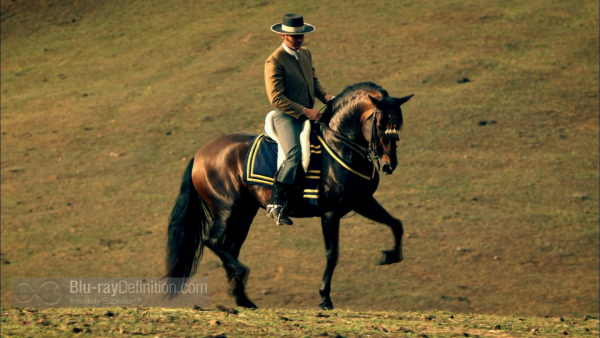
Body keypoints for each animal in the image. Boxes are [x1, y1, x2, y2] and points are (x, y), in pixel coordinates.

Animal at [166, 81, 414, 308]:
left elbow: (396, 224)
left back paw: (243, 299)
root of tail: (200, 155)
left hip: (244, 213)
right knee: (214, 242)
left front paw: (390, 256)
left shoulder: (363, 202)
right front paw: (324, 298)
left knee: (229, 247)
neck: (339, 145)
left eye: (399, 126)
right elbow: (331, 254)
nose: (389, 165)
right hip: (228, 208)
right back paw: (242, 274)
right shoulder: (330, 212)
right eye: (380, 125)